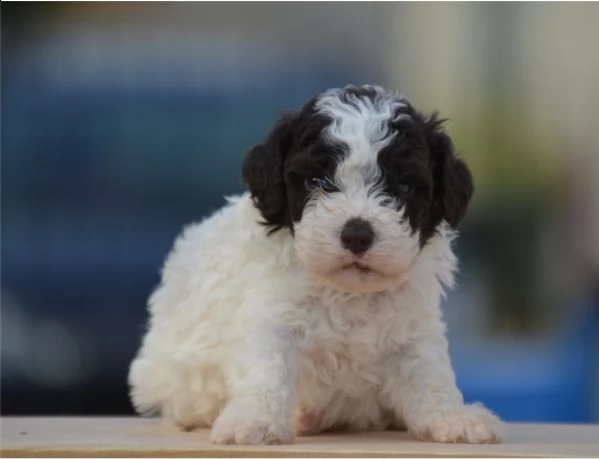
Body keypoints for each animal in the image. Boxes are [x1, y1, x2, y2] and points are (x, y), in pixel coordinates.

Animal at [129, 84, 504, 444]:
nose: (357, 234)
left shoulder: (413, 329)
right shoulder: (271, 319)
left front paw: (453, 418)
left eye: (403, 186)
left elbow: (430, 375)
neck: (349, 292)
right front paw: (254, 421)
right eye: (317, 182)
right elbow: (266, 370)